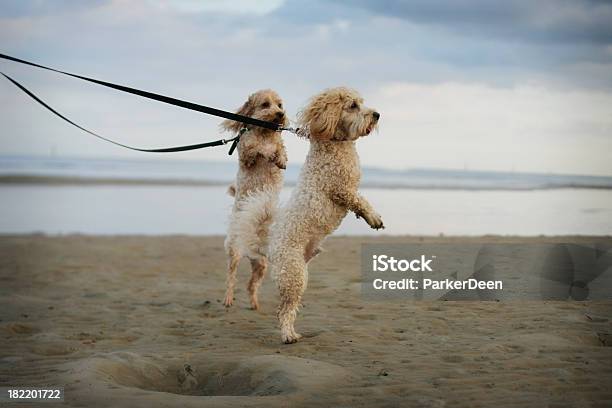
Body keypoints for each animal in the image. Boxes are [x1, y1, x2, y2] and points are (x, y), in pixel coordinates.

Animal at [221, 89, 288, 310]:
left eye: (280, 105)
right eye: (265, 104)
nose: (280, 115)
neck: (265, 132)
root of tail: (249, 250)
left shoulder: (277, 144)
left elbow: (280, 149)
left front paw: (280, 158)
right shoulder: (246, 155)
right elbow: (256, 149)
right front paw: (267, 152)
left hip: (261, 265)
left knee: (251, 285)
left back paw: (255, 303)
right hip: (234, 253)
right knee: (231, 279)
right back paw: (228, 299)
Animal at [233, 87, 382, 342]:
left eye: (361, 103)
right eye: (353, 106)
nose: (377, 115)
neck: (335, 144)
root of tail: (269, 246)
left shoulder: (348, 188)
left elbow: (359, 200)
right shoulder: (341, 189)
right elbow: (360, 201)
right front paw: (373, 218)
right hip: (293, 274)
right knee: (284, 309)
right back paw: (287, 335)